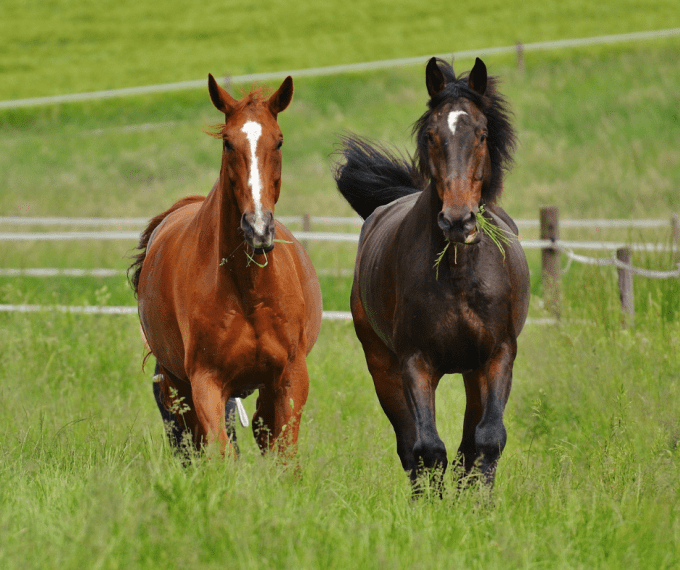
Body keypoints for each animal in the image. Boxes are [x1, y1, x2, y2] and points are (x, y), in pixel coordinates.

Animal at [129, 74, 322, 458]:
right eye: (228, 143)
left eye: (279, 141)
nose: (258, 227)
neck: (248, 291)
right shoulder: (206, 382)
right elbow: (220, 451)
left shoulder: (291, 377)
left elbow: (284, 453)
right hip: (178, 385)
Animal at [334, 56, 532, 484]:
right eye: (430, 134)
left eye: (482, 134)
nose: (457, 220)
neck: (459, 278)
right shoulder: (415, 363)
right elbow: (427, 449)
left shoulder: (498, 356)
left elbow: (487, 440)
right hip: (383, 367)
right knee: (411, 447)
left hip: (473, 373)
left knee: (469, 443)